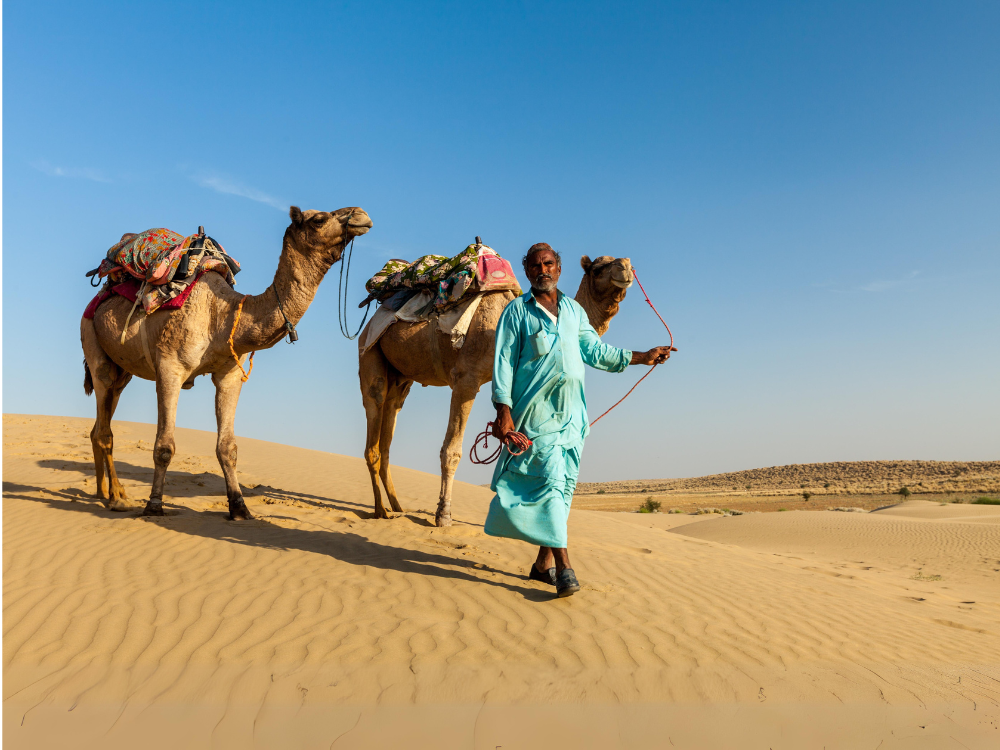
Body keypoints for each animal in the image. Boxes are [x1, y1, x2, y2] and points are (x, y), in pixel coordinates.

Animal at [82, 207, 372, 524]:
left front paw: (239, 507)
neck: (222, 315)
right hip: (93, 343)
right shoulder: (169, 369)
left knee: (100, 425)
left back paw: (104, 492)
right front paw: (154, 505)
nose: (362, 215)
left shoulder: (229, 374)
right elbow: (164, 446)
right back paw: (117, 498)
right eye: (319, 219)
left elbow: (228, 447)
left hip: (122, 372)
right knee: (105, 426)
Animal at [358, 256, 632, 524]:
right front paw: (443, 513)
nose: (626, 267)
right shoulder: (465, 379)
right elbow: (451, 451)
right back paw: (380, 510)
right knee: (375, 408)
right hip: (370, 350)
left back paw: (396, 506)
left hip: (401, 376)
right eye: (598, 268)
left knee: (391, 418)